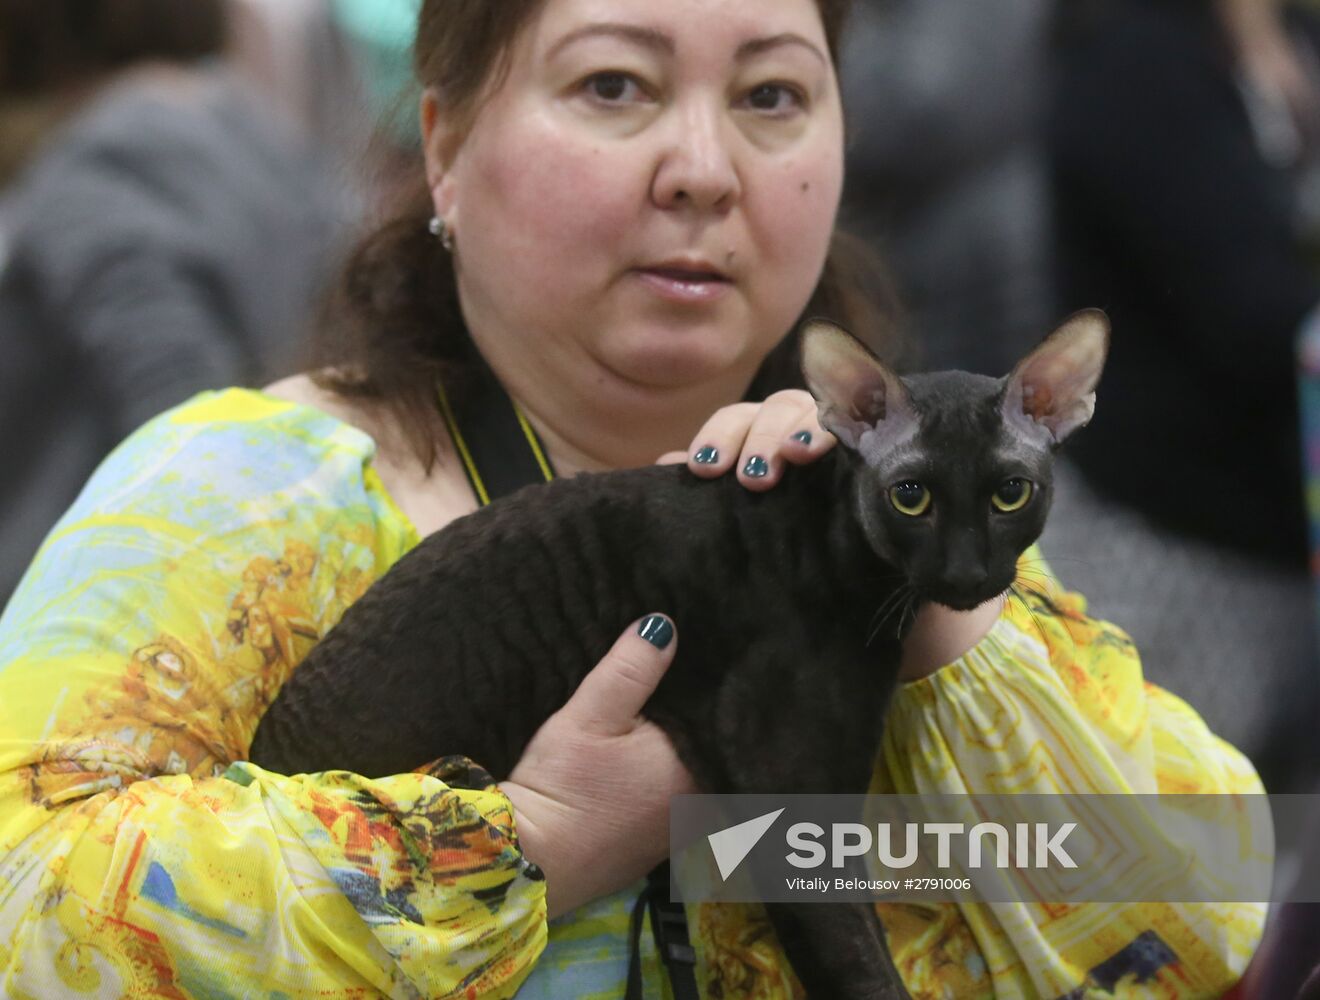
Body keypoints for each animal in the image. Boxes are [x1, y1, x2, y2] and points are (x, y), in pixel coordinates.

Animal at [245, 310, 1103, 997]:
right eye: (912, 497)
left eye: (1010, 493)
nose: (967, 574)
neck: (845, 570)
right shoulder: (792, 792)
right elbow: (859, 965)